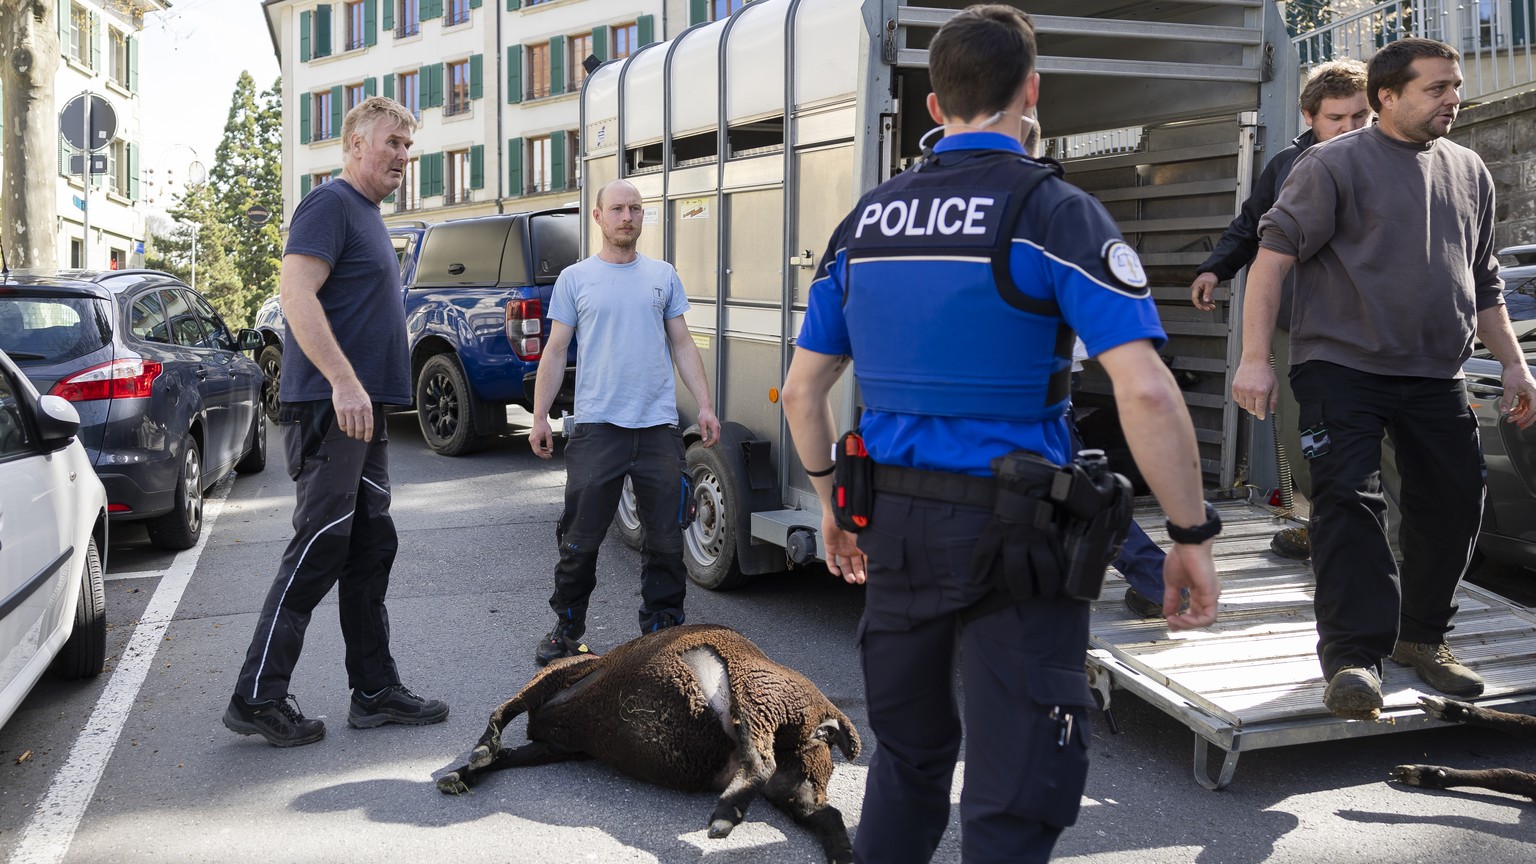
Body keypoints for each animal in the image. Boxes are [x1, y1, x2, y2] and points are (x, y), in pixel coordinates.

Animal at [439, 621, 860, 854]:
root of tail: (827, 716)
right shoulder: (555, 746)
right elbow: (504, 752)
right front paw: (462, 773)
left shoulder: (555, 681)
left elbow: (502, 711)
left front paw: (479, 751)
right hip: (797, 778)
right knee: (824, 813)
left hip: (758, 697)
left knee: (760, 761)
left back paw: (724, 818)